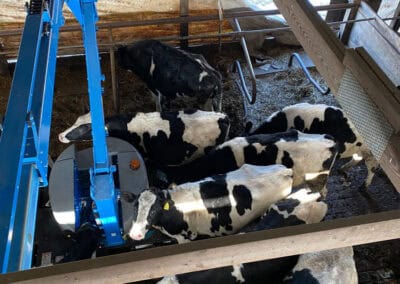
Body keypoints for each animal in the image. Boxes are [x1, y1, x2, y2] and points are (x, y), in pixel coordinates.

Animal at [245, 102, 380, 189]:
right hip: (361, 149)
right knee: (358, 158)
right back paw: (343, 169)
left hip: (370, 153)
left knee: (372, 166)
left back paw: (364, 185)